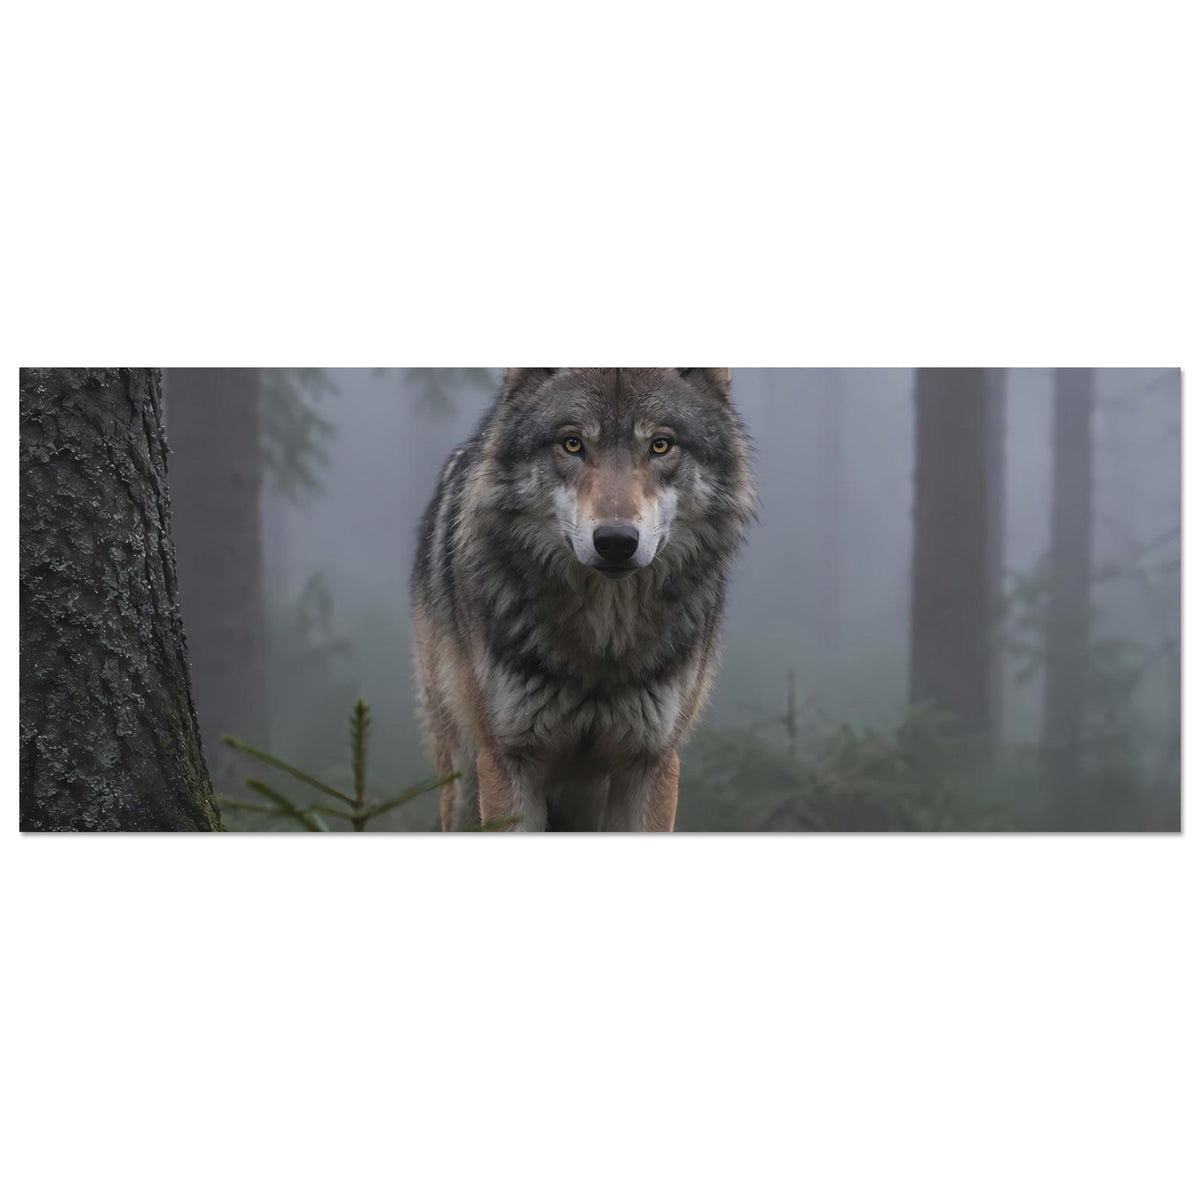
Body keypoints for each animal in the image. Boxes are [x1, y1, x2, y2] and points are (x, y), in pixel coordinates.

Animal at [411, 368, 755, 831]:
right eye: (573, 443)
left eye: (660, 445)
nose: (616, 541)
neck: (602, 640)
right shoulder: (509, 761)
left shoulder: (652, 762)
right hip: (464, 778)